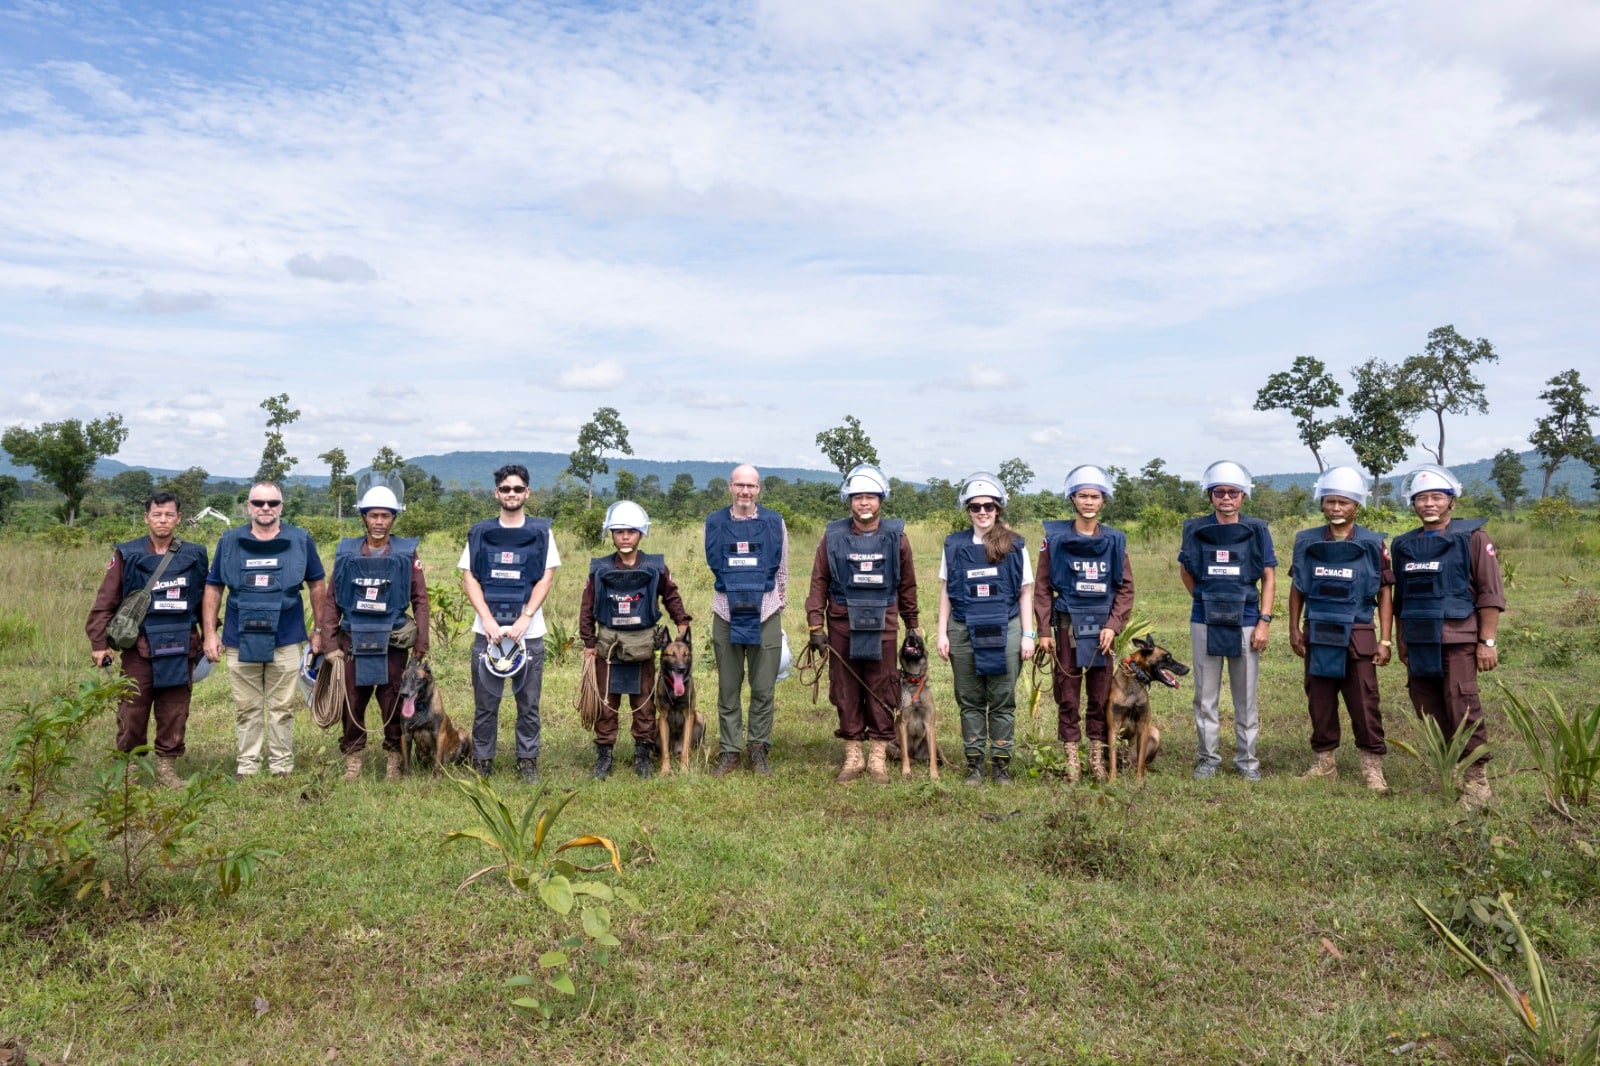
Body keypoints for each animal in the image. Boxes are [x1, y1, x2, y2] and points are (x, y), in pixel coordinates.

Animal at [652, 624, 704, 771]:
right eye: (672, 655)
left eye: (685, 655)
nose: (681, 668)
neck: (674, 693)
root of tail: (675, 751)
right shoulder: (663, 718)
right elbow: (665, 751)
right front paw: (665, 770)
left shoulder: (688, 716)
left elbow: (685, 749)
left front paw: (684, 770)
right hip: (656, 723)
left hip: (700, 717)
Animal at [1113, 630, 1190, 781]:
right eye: (1167, 657)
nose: (1187, 669)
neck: (1135, 675)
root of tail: (1128, 765)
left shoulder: (1143, 726)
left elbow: (1141, 763)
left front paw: (1139, 782)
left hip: (1154, 732)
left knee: (1142, 763)